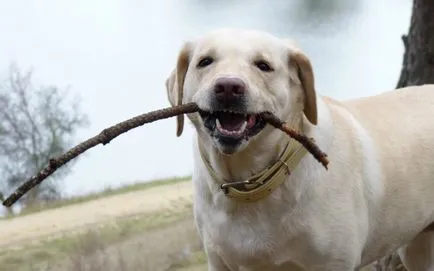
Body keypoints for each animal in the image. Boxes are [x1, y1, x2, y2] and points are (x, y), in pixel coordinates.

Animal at [165, 28, 434, 270]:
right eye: (205, 62)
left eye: (263, 65)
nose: (228, 87)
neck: (249, 182)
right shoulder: (218, 261)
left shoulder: (334, 264)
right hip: (417, 248)